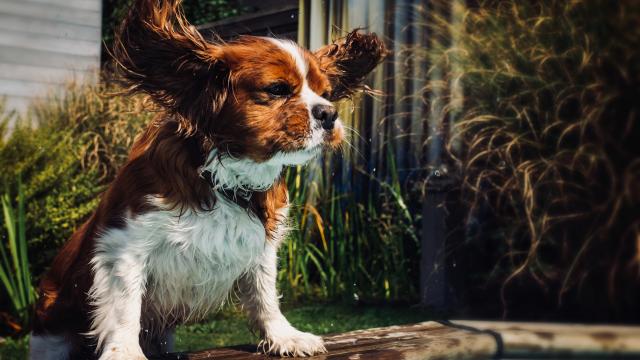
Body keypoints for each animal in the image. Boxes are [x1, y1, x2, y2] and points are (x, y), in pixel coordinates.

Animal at [28, 0, 384, 360]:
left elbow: (265, 295)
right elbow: (124, 306)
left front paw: (284, 336)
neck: (226, 177)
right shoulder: (124, 246)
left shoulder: (261, 249)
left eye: (326, 94)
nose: (329, 114)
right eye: (277, 89)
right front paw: (124, 351)